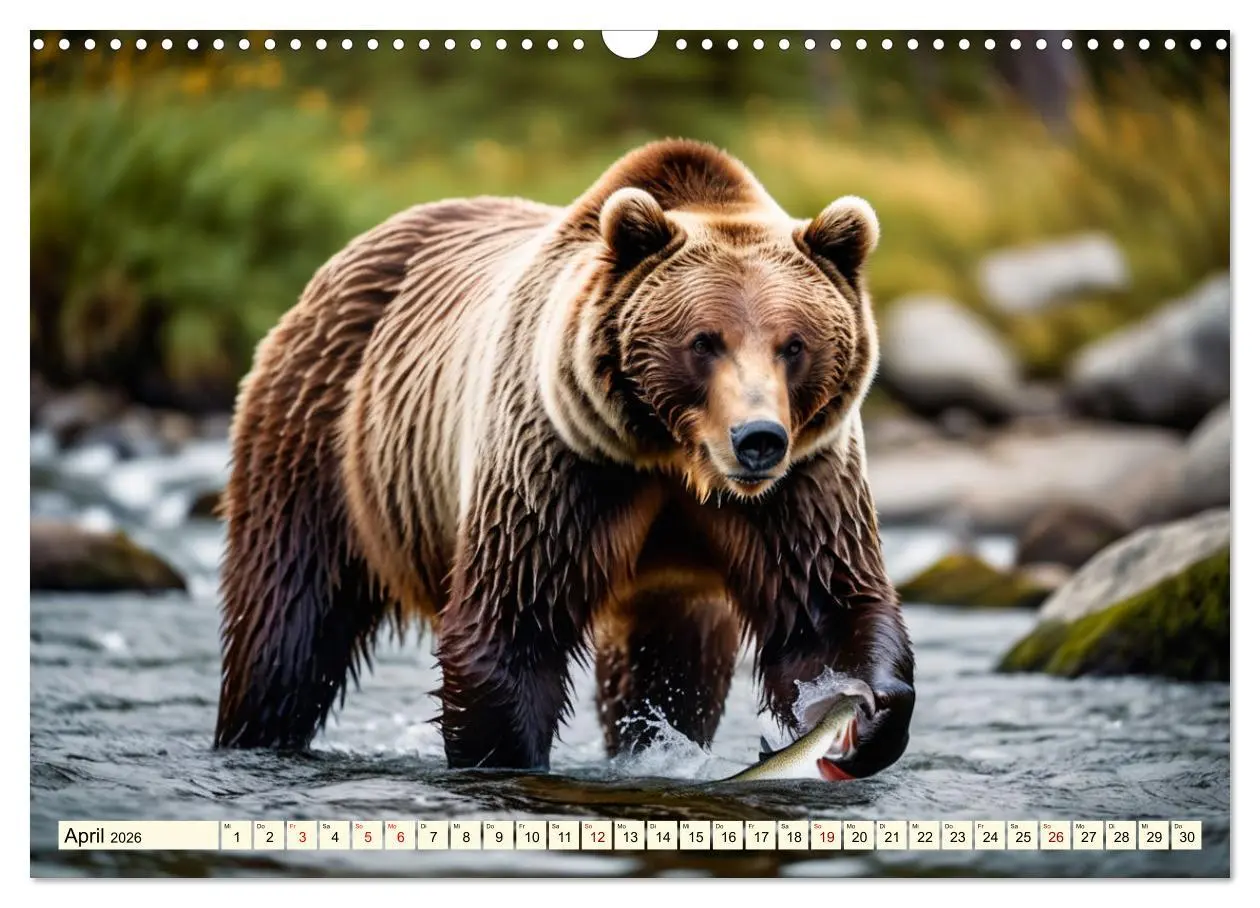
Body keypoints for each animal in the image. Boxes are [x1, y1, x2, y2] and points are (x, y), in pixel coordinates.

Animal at [214, 138, 915, 779]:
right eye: (703, 341)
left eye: (793, 344)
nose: (758, 437)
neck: (673, 456)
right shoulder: (561, 463)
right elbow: (512, 625)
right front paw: (505, 757)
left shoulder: (801, 484)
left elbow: (824, 607)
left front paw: (866, 715)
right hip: (324, 438)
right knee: (288, 621)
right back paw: (256, 731)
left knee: (671, 664)